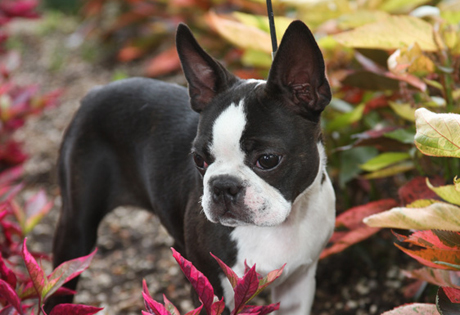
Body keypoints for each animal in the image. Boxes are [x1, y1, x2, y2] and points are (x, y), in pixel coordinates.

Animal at [49, 21, 334, 314]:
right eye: (199, 159)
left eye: (267, 160)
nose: (222, 186)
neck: (281, 227)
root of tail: (93, 92)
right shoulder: (210, 287)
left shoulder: (298, 283)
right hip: (76, 231)